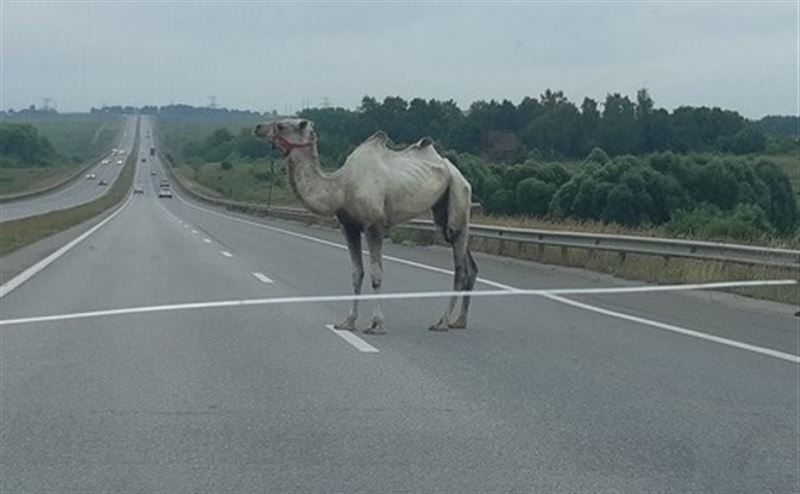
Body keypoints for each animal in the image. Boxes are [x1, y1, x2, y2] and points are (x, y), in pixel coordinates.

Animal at [253, 119, 478, 334]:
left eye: (281, 125)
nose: (257, 127)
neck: (340, 188)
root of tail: (460, 174)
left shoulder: (374, 225)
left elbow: (376, 275)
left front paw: (377, 325)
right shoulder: (348, 227)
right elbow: (356, 273)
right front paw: (348, 322)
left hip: (459, 194)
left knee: (459, 265)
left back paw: (442, 322)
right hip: (442, 209)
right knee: (469, 264)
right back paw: (459, 321)